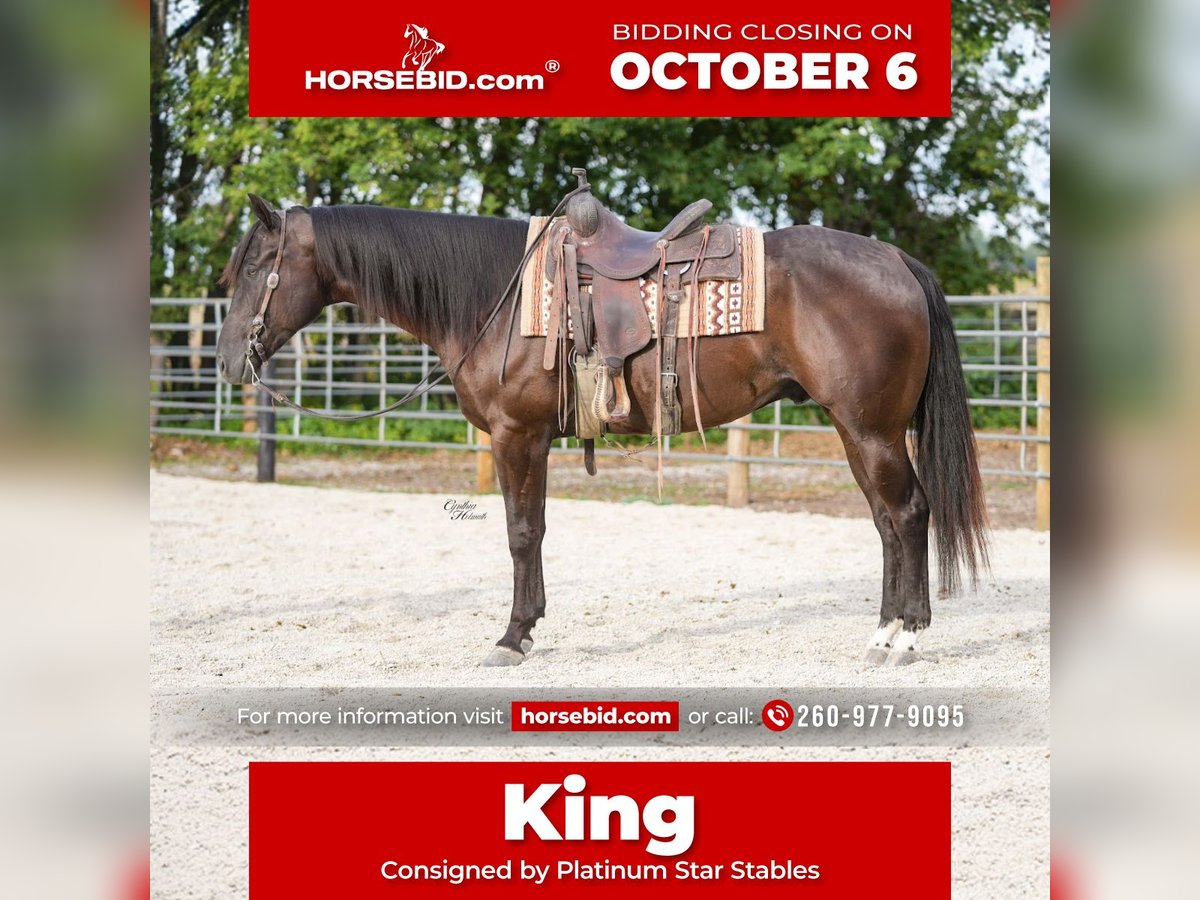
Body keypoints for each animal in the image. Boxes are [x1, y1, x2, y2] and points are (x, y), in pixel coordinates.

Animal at [214, 193, 988, 668]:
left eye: (256, 265)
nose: (225, 359)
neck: (495, 297)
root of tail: (895, 260)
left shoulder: (516, 436)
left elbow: (520, 532)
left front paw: (512, 637)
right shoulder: (532, 439)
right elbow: (534, 531)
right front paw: (526, 628)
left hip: (871, 429)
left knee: (907, 513)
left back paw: (906, 639)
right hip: (856, 430)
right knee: (886, 522)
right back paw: (882, 631)